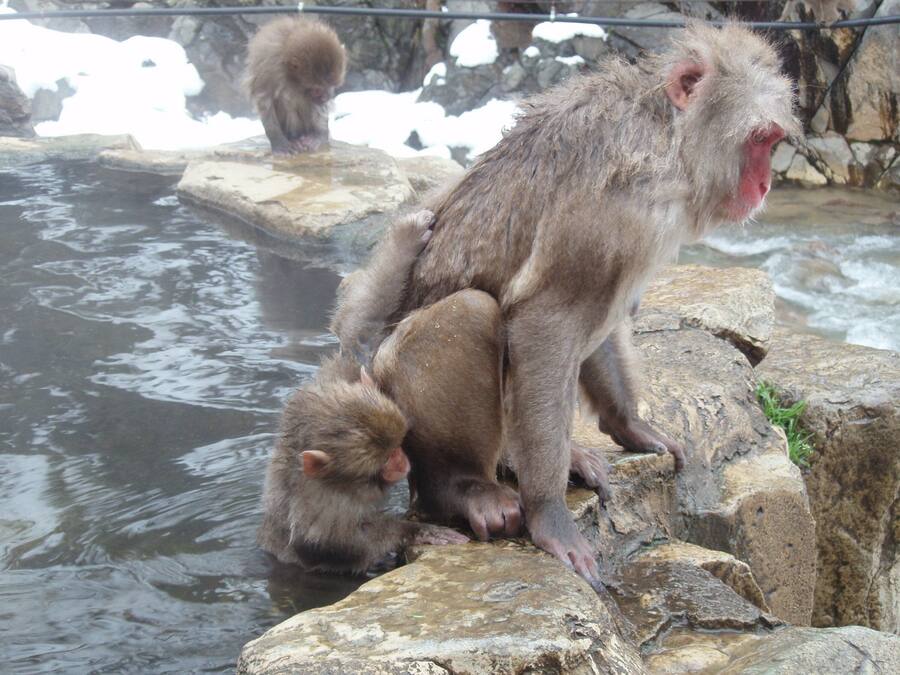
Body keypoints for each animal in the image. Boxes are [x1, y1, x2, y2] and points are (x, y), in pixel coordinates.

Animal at [245, 17, 347, 154]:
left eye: (331, 86)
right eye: (317, 89)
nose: (326, 97)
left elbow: (319, 107)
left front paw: (320, 136)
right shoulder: (267, 67)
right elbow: (264, 101)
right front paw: (279, 142)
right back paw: (292, 138)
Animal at [346, 22, 799, 584]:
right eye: (759, 140)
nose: (764, 184)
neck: (665, 144)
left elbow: (608, 314)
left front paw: (629, 424)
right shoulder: (601, 215)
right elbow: (545, 324)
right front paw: (550, 514)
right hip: (397, 407)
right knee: (470, 315)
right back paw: (463, 486)